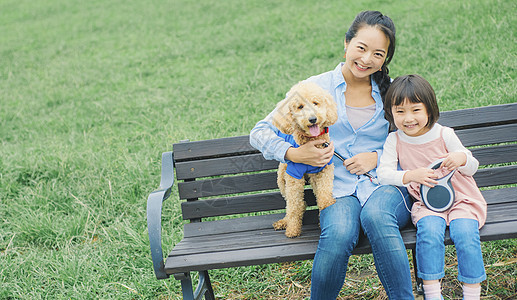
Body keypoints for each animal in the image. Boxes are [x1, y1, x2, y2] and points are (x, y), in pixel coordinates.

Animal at [270, 81, 338, 237]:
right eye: (300, 106)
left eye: (315, 103)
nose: (312, 119)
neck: (312, 140)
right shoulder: (293, 175)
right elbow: (294, 205)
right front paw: (292, 229)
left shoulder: (325, 168)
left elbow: (324, 191)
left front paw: (327, 205)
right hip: (281, 176)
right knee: (293, 202)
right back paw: (285, 221)